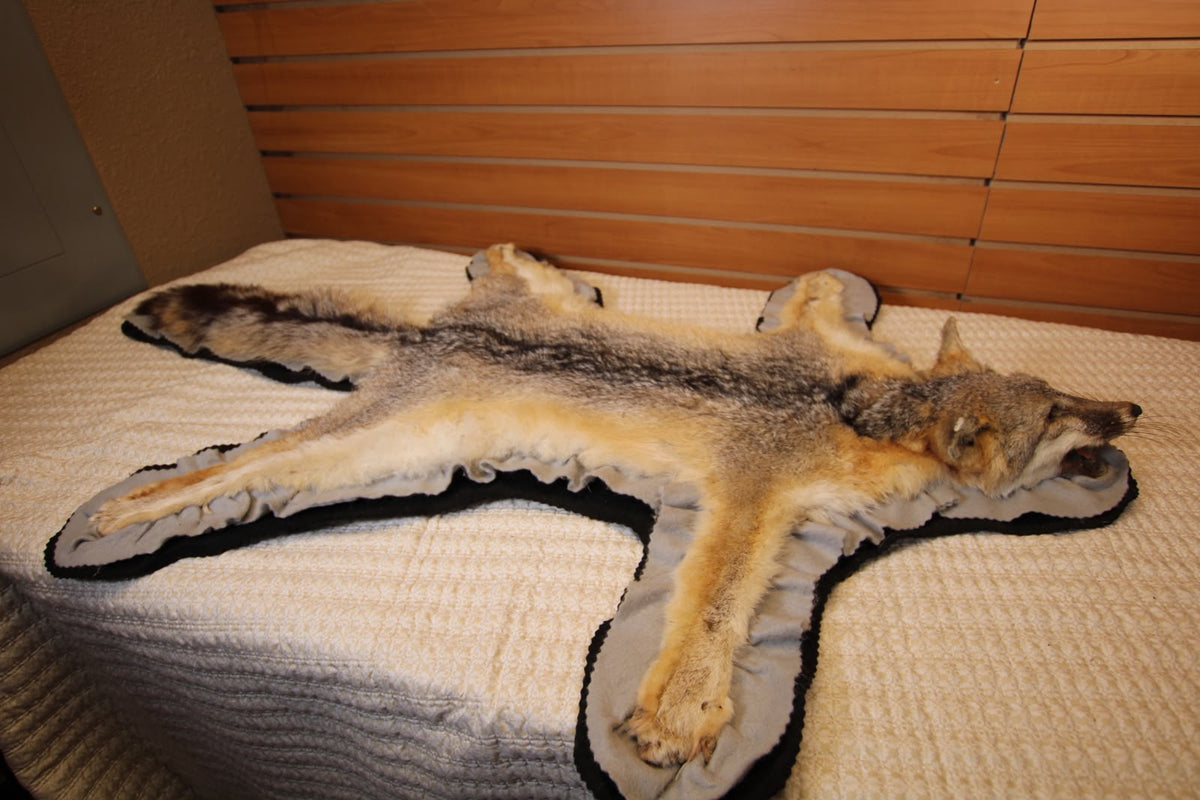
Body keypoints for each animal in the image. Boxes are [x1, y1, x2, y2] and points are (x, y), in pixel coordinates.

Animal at [88, 243, 1140, 767]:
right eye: (1058, 415)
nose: (1133, 409)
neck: (857, 403)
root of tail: (435, 333)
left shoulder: (821, 358)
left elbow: (811, 292)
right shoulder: (747, 499)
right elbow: (714, 607)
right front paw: (678, 716)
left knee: (513, 264)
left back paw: (509, 250)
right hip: (375, 445)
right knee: (232, 473)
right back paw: (130, 509)